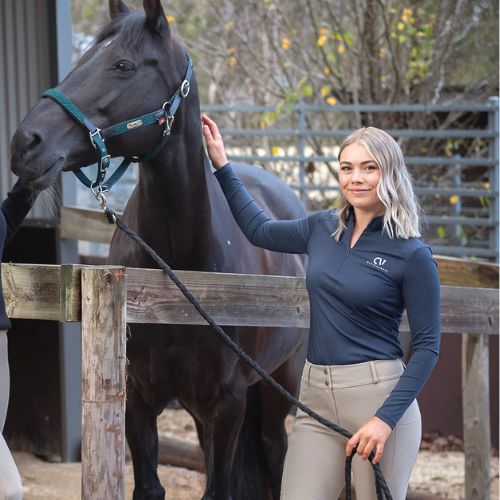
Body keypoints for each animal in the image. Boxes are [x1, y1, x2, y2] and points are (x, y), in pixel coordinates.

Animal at [9, 1, 308, 498]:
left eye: (123, 65)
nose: (24, 144)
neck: (180, 276)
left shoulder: (228, 405)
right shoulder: (140, 400)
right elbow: (149, 485)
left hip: (278, 389)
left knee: (274, 453)